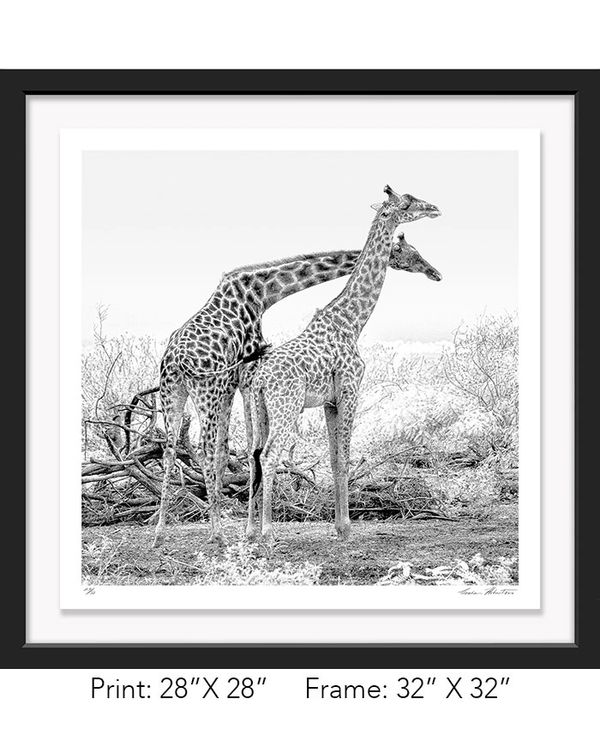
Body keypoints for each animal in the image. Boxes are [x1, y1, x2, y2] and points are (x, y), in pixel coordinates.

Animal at [153, 245, 379, 548]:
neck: (261, 292)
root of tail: (176, 359)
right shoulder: (244, 372)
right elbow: (240, 448)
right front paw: (249, 528)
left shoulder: (235, 381)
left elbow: (235, 449)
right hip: (206, 392)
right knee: (204, 448)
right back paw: (218, 533)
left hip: (172, 391)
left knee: (169, 448)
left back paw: (160, 533)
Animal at [244, 186, 441, 544]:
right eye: (408, 201)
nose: (435, 208)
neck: (351, 321)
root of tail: (261, 378)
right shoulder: (350, 390)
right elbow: (346, 457)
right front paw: (347, 528)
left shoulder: (329, 401)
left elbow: (335, 458)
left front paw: (339, 526)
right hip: (286, 406)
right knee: (269, 454)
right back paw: (267, 531)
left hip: (260, 409)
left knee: (253, 456)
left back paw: (250, 531)